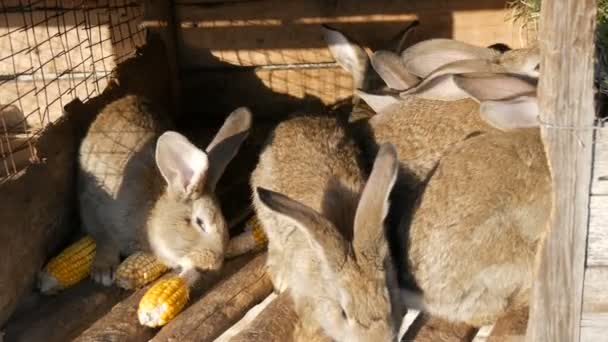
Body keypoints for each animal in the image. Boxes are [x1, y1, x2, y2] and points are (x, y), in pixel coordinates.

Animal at [76, 94, 252, 286]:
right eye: (199, 222)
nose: (212, 264)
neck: (151, 216)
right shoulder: (92, 206)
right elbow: (104, 239)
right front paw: (103, 272)